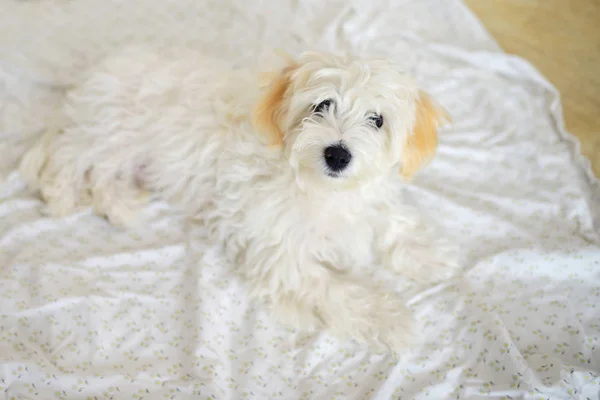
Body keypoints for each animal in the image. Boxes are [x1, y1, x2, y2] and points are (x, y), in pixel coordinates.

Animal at [19, 47, 460, 352]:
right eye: (322, 105)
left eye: (377, 120)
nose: (337, 154)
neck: (321, 188)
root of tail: (90, 79)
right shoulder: (283, 257)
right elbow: (341, 291)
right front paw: (392, 321)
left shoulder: (367, 205)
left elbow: (392, 223)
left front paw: (427, 255)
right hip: (108, 135)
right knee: (67, 160)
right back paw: (61, 196)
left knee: (101, 177)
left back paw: (122, 206)